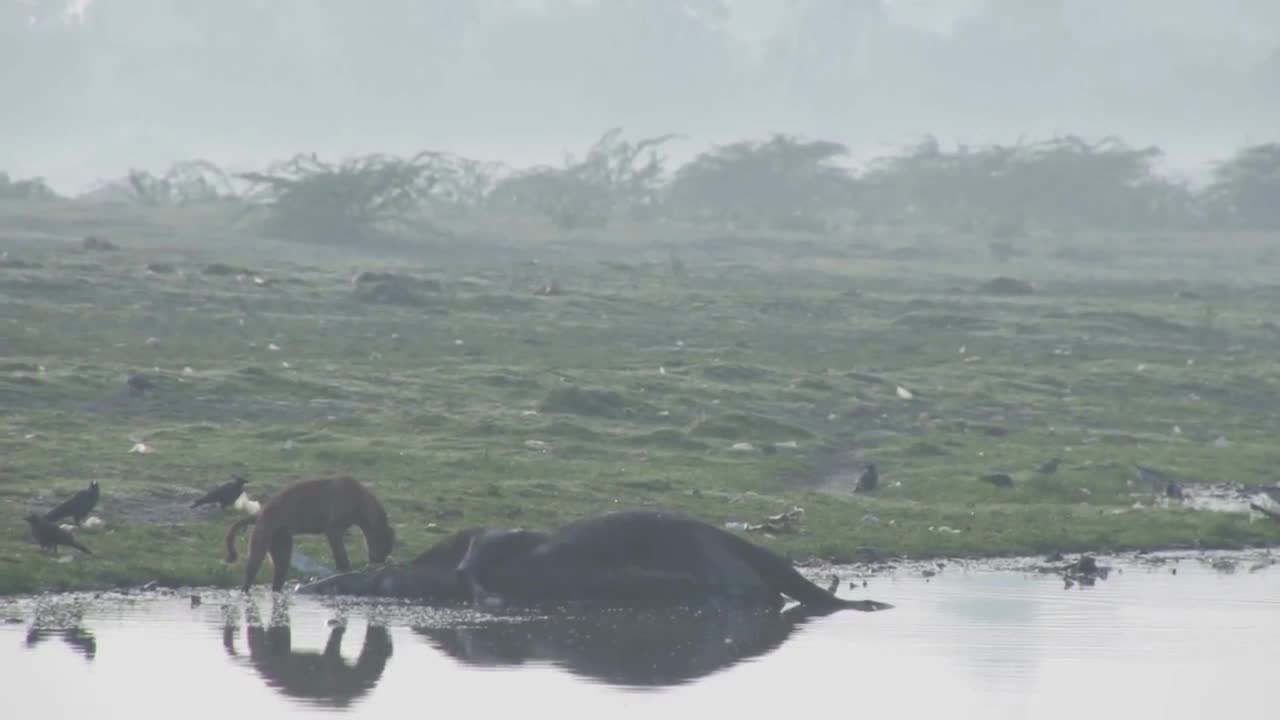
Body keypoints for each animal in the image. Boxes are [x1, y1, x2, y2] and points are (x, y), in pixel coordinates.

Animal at [225, 476, 394, 589]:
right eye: (384, 546)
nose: (379, 561)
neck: (361, 502)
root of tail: (259, 513)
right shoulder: (334, 526)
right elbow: (339, 551)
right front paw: (347, 570)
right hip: (266, 531)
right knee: (253, 565)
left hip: (281, 537)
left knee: (280, 567)